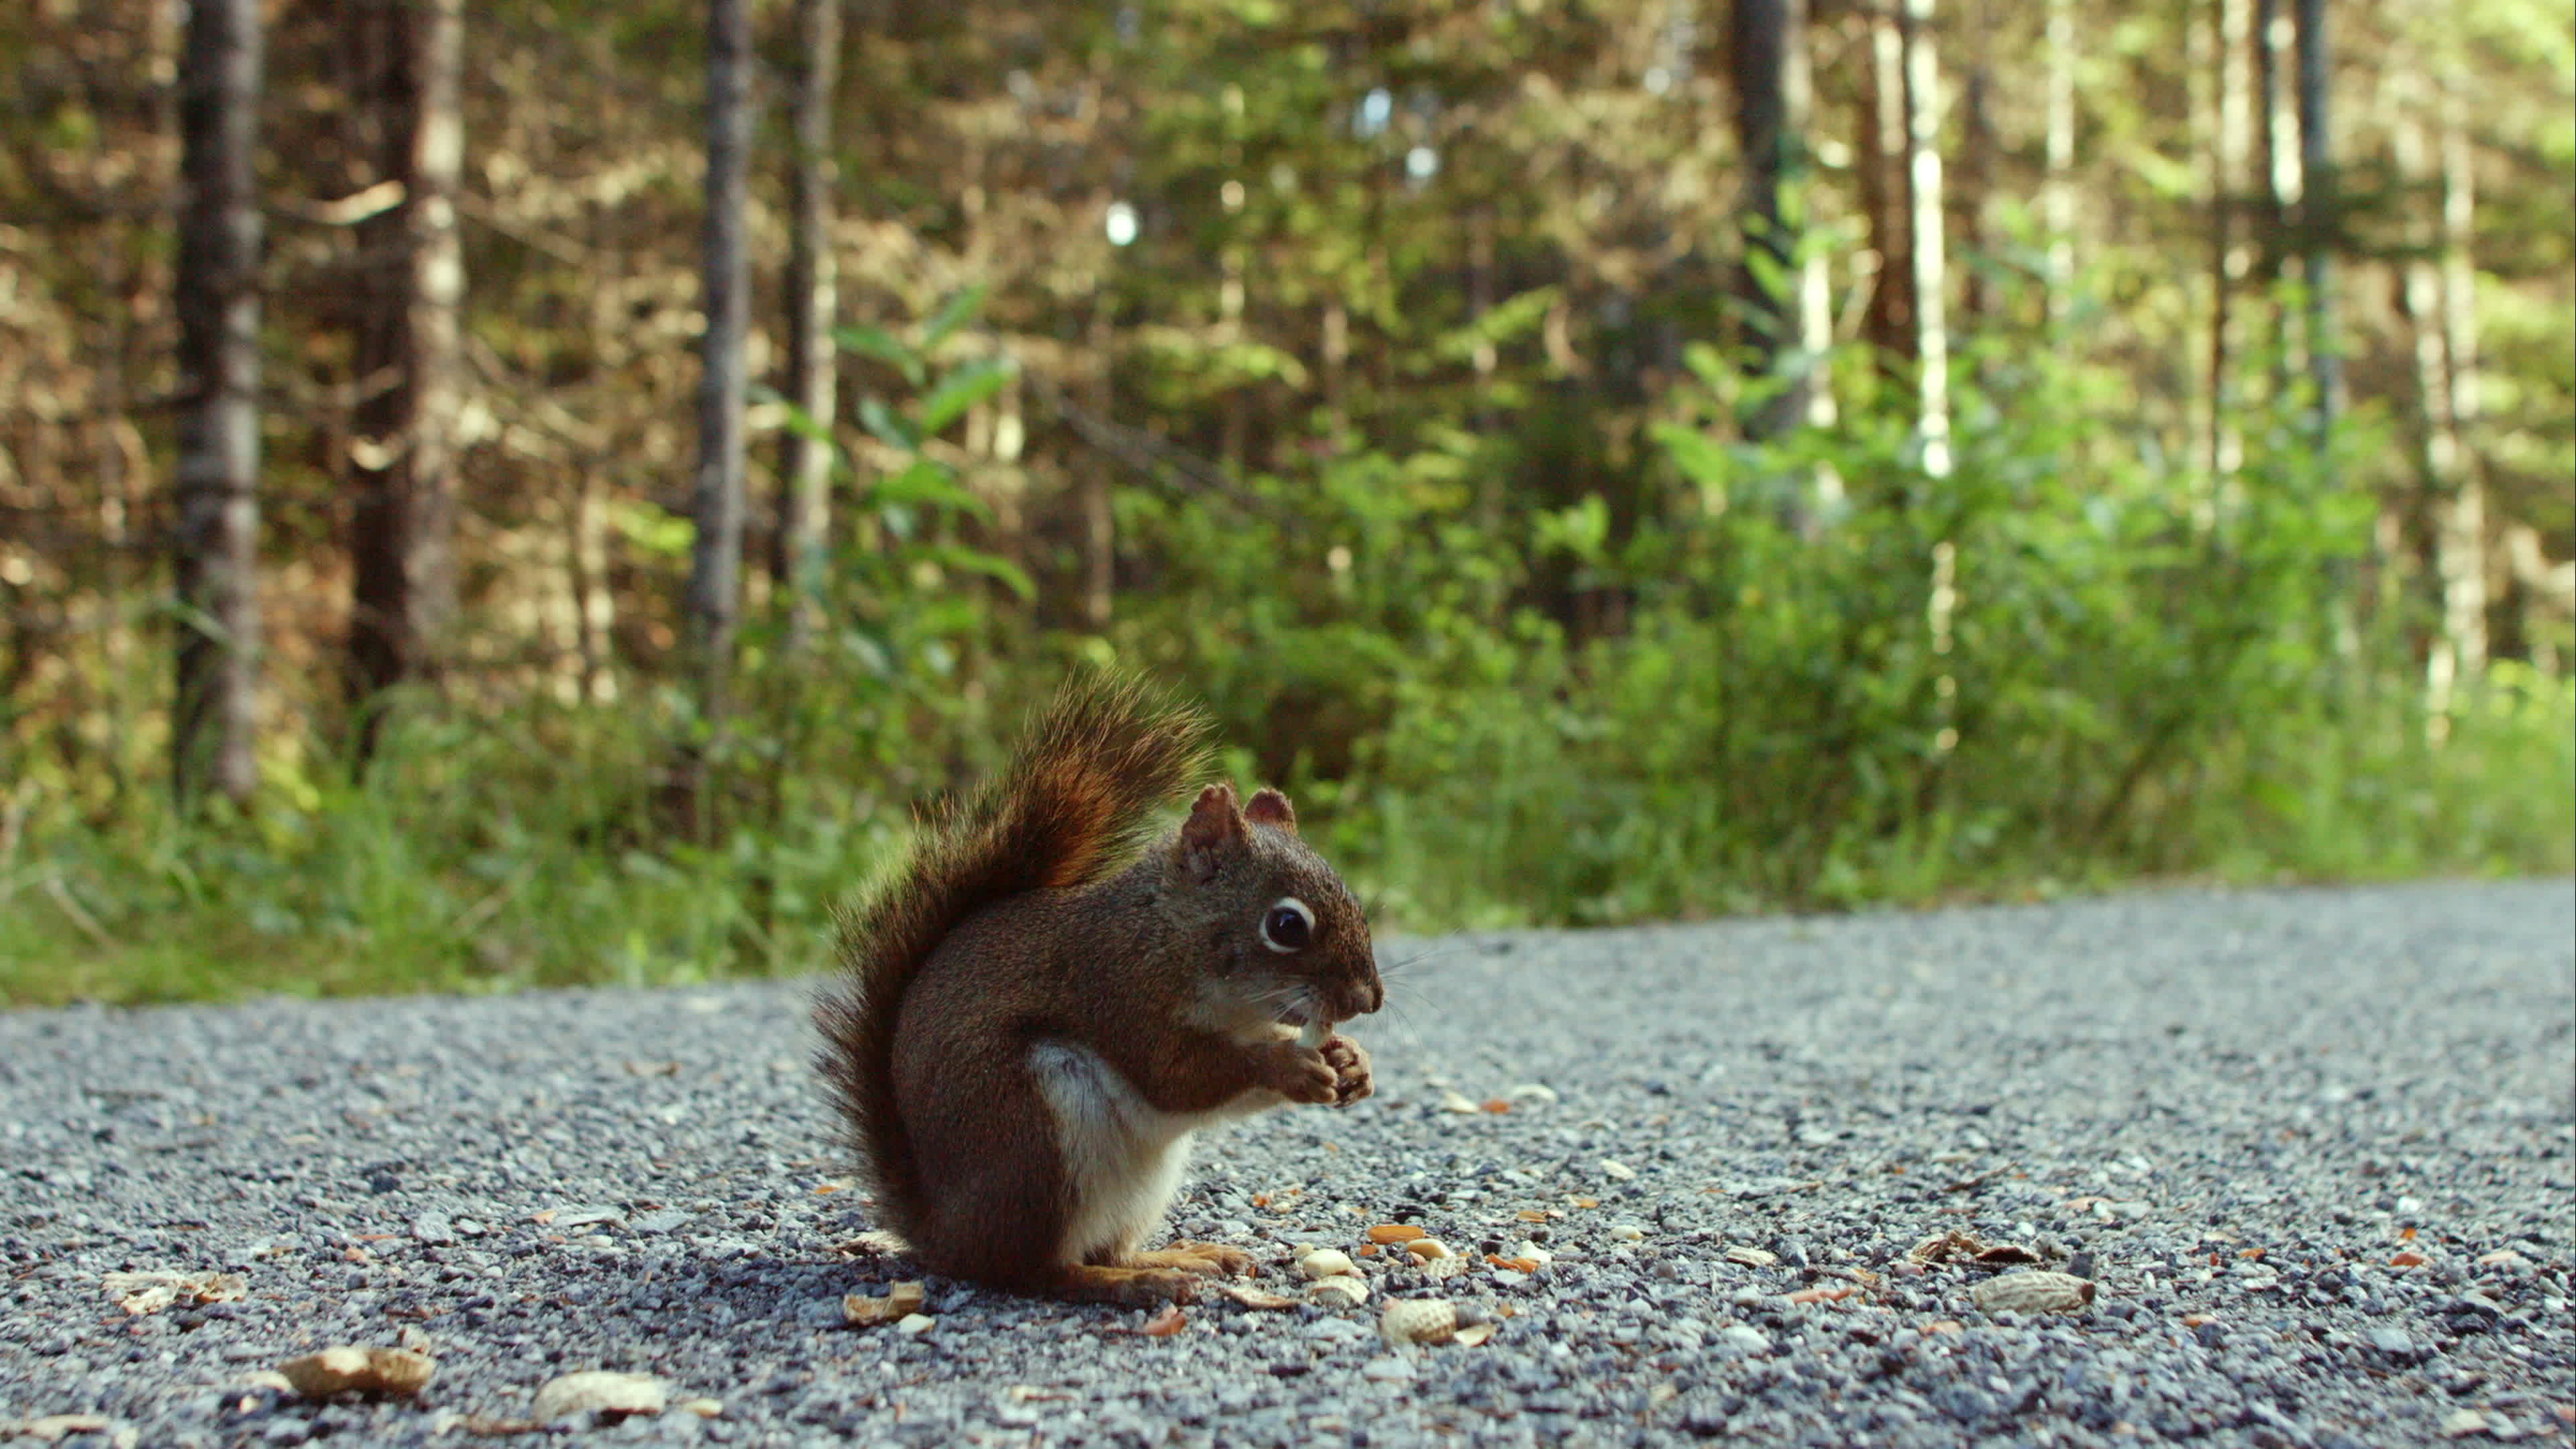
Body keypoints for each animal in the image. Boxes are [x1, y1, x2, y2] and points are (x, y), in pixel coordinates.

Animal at [819, 670, 1391, 1304]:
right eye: (1287, 925)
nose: (1368, 1001)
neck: (1166, 935)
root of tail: (945, 1233)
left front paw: (1352, 1061)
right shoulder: (1119, 992)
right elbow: (1176, 1078)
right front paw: (1287, 1064)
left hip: (1135, 1186)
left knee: (1106, 1246)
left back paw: (1176, 1257)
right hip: (1035, 1145)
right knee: (1032, 1271)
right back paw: (1130, 1282)